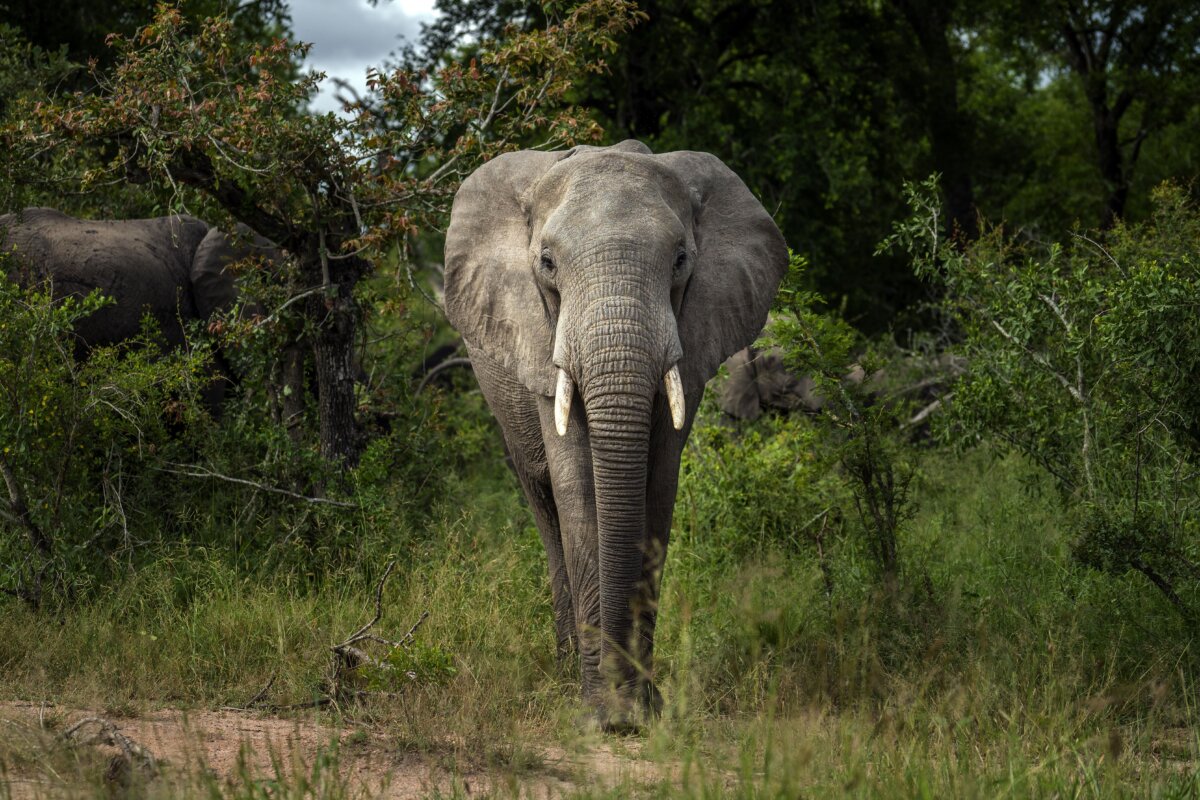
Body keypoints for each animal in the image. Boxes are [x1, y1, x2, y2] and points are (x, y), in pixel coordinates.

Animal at [444, 140, 788, 728]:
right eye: (547, 264)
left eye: (680, 260)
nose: (619, 708)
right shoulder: (540, 339)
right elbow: (578, 489)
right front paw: (598, 713)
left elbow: (657, 488)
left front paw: (641, 710)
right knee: (545, 507)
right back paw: (564, 671)